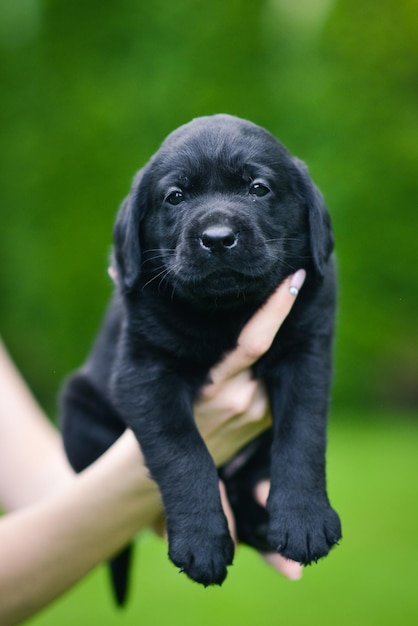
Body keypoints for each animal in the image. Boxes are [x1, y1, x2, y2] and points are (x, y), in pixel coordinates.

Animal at [62, 114, 342, 604]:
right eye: (175, 196)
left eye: (258, 188)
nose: (217, 239)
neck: (226, 313)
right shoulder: (144, 372)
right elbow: (182, 450)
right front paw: (201, 542)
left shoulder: (308, 352)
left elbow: (301, 434)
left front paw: (304, 519)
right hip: (78, 408)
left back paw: (265, 524)